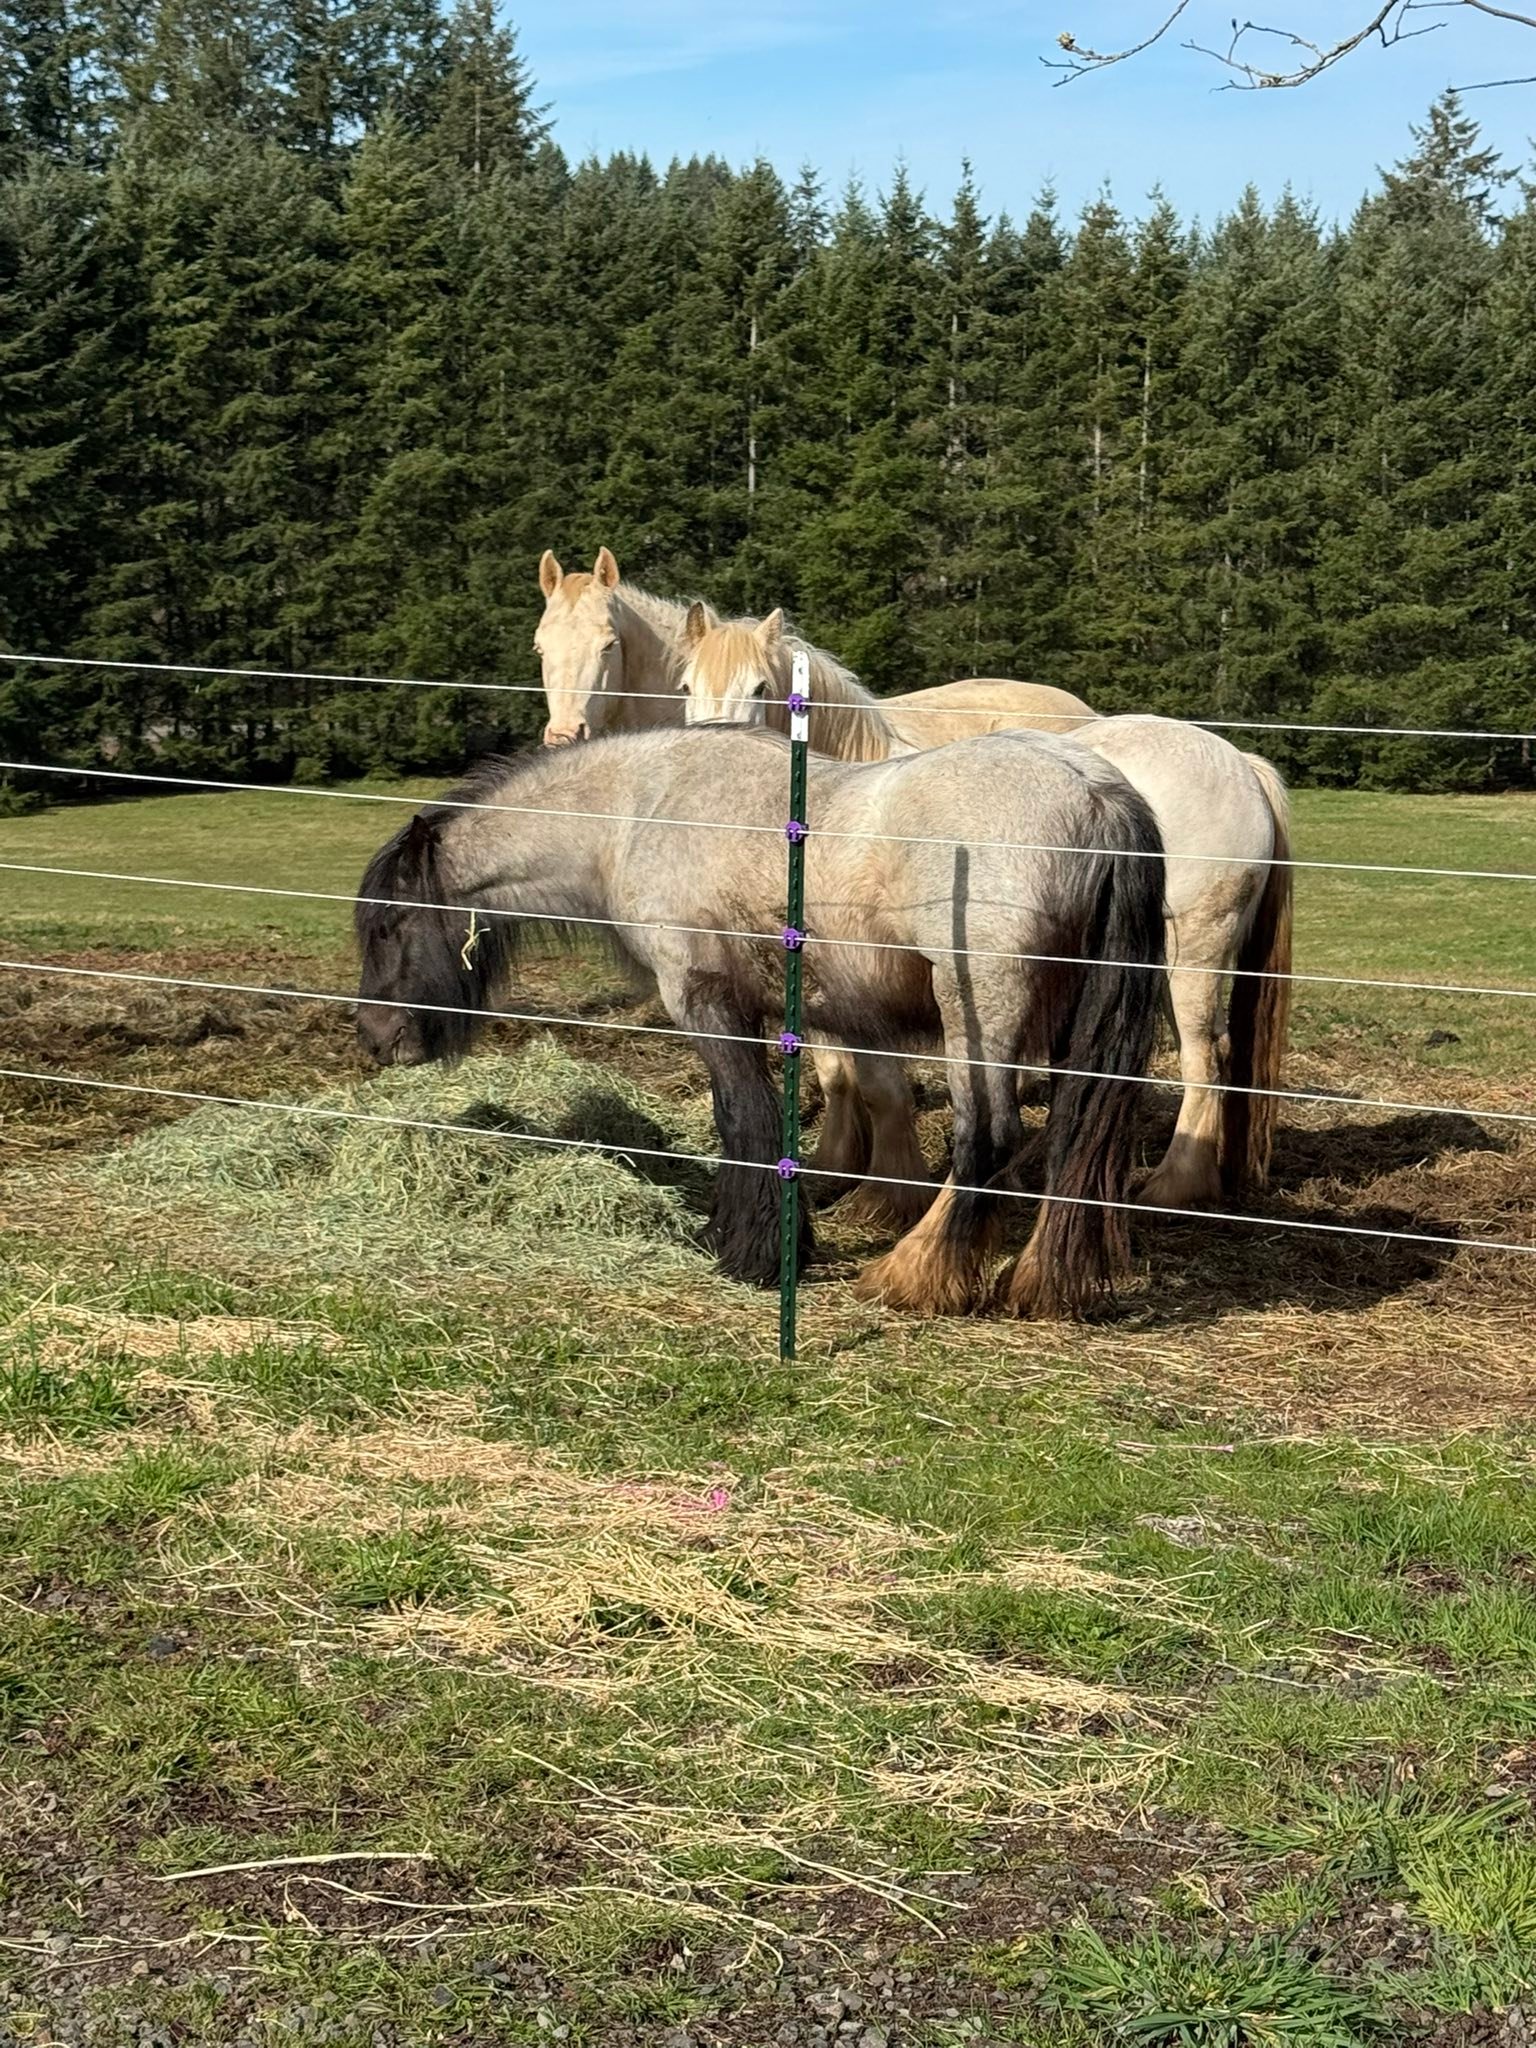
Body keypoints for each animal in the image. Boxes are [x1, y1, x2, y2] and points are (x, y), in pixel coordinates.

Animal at [354, 727, 1167, 1319]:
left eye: (390, 923)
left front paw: (745, 1251)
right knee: (1071, 1131)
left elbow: (741, 1119)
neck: (639, 809)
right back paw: (1042, 1283)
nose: (374, 1038)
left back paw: (912, 1276)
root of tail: (1097, 795)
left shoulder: (704, 1000)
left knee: (989, 1137)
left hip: (980, 1009)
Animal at [679, 606, 1293, 1220]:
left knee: (1202, 1056)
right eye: (685, 686)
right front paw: (836, 1162)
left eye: (761, 688)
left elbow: (878, 1084)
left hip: (1191, 954)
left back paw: (1175, 1184)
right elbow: (834, 1069)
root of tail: (1240, 763)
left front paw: (886, 1192)